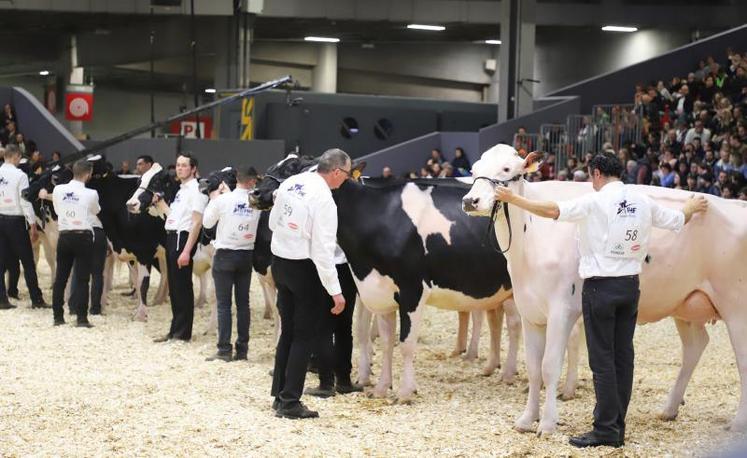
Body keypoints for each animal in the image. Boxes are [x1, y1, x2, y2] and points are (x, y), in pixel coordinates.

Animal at [254, 157, 524, 400]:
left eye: (295, 169)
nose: (259, 193)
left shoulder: (412, 289)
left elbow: (403, 342)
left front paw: (404, 391)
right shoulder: (377, 290)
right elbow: (385, 341)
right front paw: (381, 387)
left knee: (513, 324)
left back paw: (506, 372)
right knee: (496, 319)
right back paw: (491, 367)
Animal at [462, 145, 747, 434]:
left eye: (507, 169)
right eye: (473, 171)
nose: (470, 200)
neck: (528, 242)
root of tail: (738, 204)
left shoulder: (561, 310)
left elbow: (549, 366)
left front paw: (548, 424)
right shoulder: (530, 310)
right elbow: (533, 368)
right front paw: (526, 419)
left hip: (736, 305)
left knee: (742, 359)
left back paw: (737, 423)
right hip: (685, 303)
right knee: (695, 346)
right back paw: (668, 409)